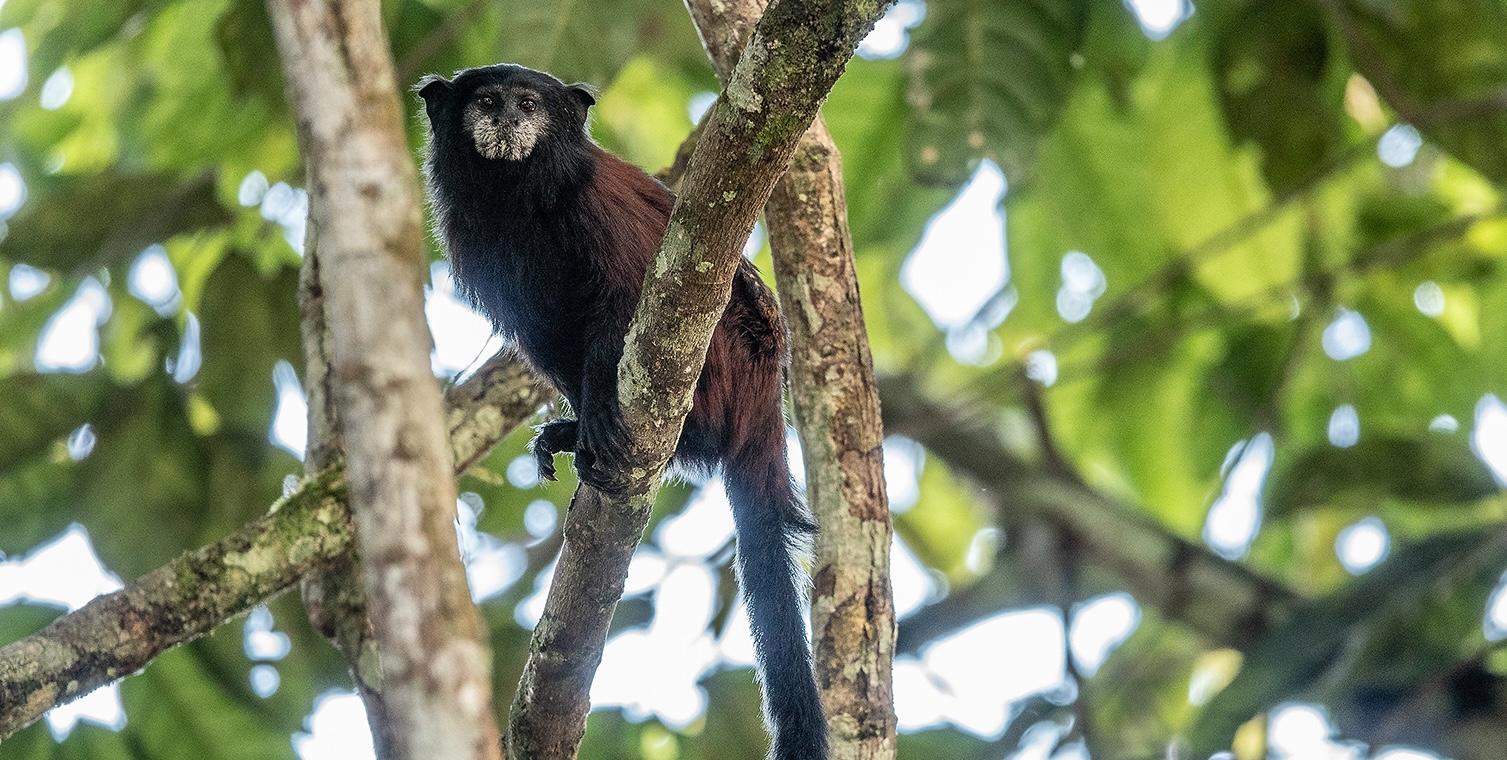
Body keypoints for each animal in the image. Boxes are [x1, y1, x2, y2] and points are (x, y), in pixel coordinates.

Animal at [417, 64, 828, 760]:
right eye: (486, 100)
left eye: (529, 104)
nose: (506, 119)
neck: (518, 198)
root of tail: (765, 399)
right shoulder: (474, 243)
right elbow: (545, 336)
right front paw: (576, 425)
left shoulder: (594, 208)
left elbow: (621, 298)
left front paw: (598, 420)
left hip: (725, 353)